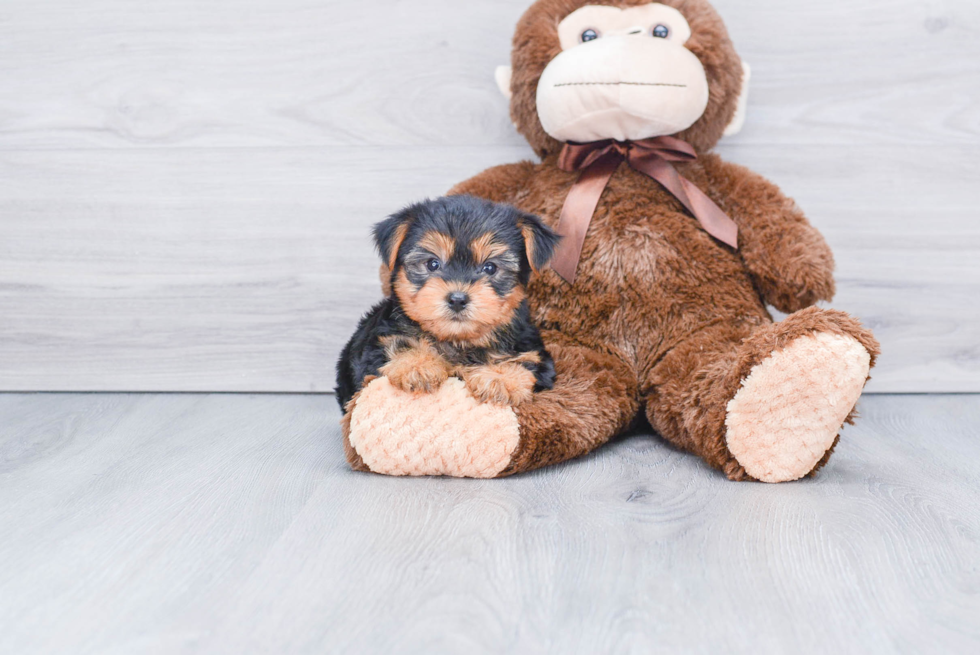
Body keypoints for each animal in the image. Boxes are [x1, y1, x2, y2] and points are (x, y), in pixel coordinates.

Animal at [334, 195, 560, 410]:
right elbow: (398, 343)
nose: (458, 299)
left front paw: (499, 378)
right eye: (432, 264)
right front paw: (417, 365)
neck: (457, 340)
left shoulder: (534, 351)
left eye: (490, 268)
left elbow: (526, 360)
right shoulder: (377, 343)